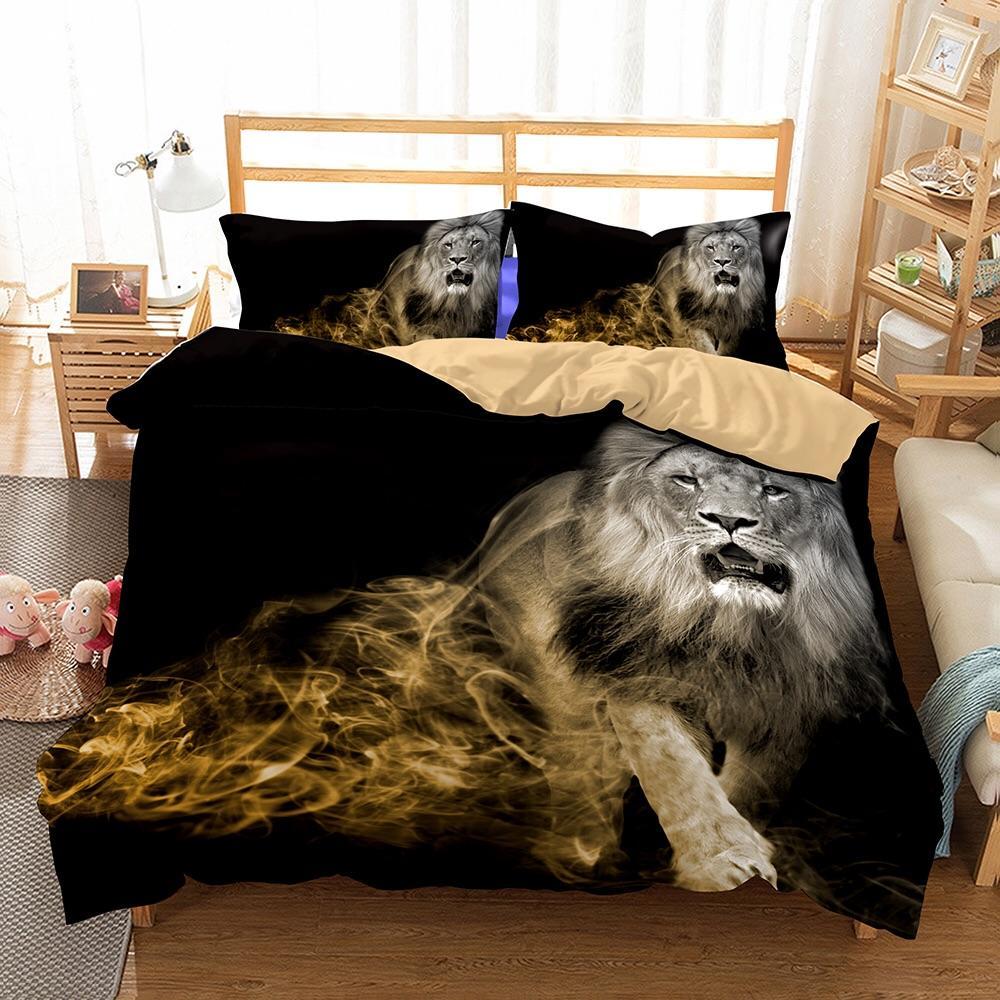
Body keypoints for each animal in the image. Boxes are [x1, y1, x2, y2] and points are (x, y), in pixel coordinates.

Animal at [479, 419, 887, 890]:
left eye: (773, 490)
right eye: (687, 481)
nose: (728, 520)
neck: (736, 631)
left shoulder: (795, 708)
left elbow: (752, 789)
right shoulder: (640, 675)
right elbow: (677, 771)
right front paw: (722, 865)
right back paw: (586, 857)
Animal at [509, 218, 766, 356]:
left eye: (736, 247)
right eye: (710, 247)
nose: (722, 262)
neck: (720, 301)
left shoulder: (736, 330)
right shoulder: (691, 326)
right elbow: (703, 348)